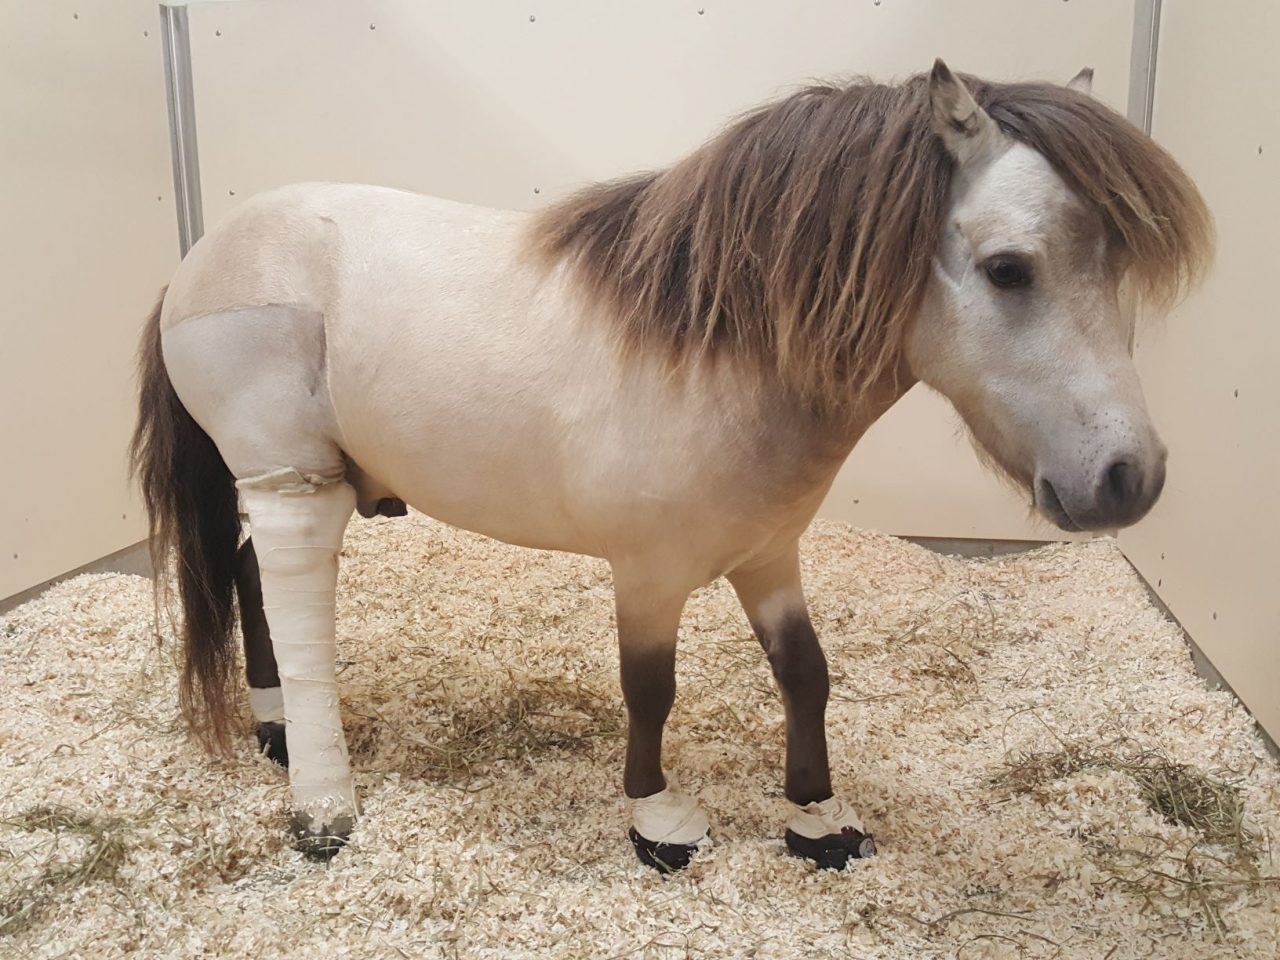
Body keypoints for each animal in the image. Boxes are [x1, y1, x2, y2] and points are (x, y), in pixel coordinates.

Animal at [130, 60, 1211, 870]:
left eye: (1114, 264)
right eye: (1007, 269)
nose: (1129, 477)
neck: (717, 351)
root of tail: (197, 262)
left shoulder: (768, 555)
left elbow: (805, 673)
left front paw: (818, 819)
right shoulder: (648, 573)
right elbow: (650, 688)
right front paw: (657, 821)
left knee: (245, 577)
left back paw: (274, 728)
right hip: (292, 483)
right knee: (284, 587)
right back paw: (322, 806)